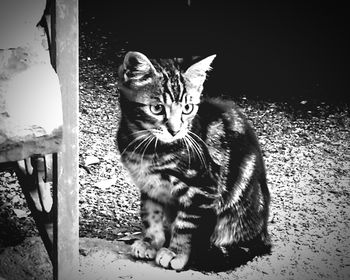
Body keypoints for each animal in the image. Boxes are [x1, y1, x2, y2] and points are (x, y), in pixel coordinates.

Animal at [117, 51, 270, 270]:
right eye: (157, 108)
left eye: (187, 108)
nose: (175, 130)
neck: (146, 147)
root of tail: (263, 236)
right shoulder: (150, 186)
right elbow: (150, 214)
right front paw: (150, 242)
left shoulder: (202, 188)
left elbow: (186, 226)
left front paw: (175, 252)